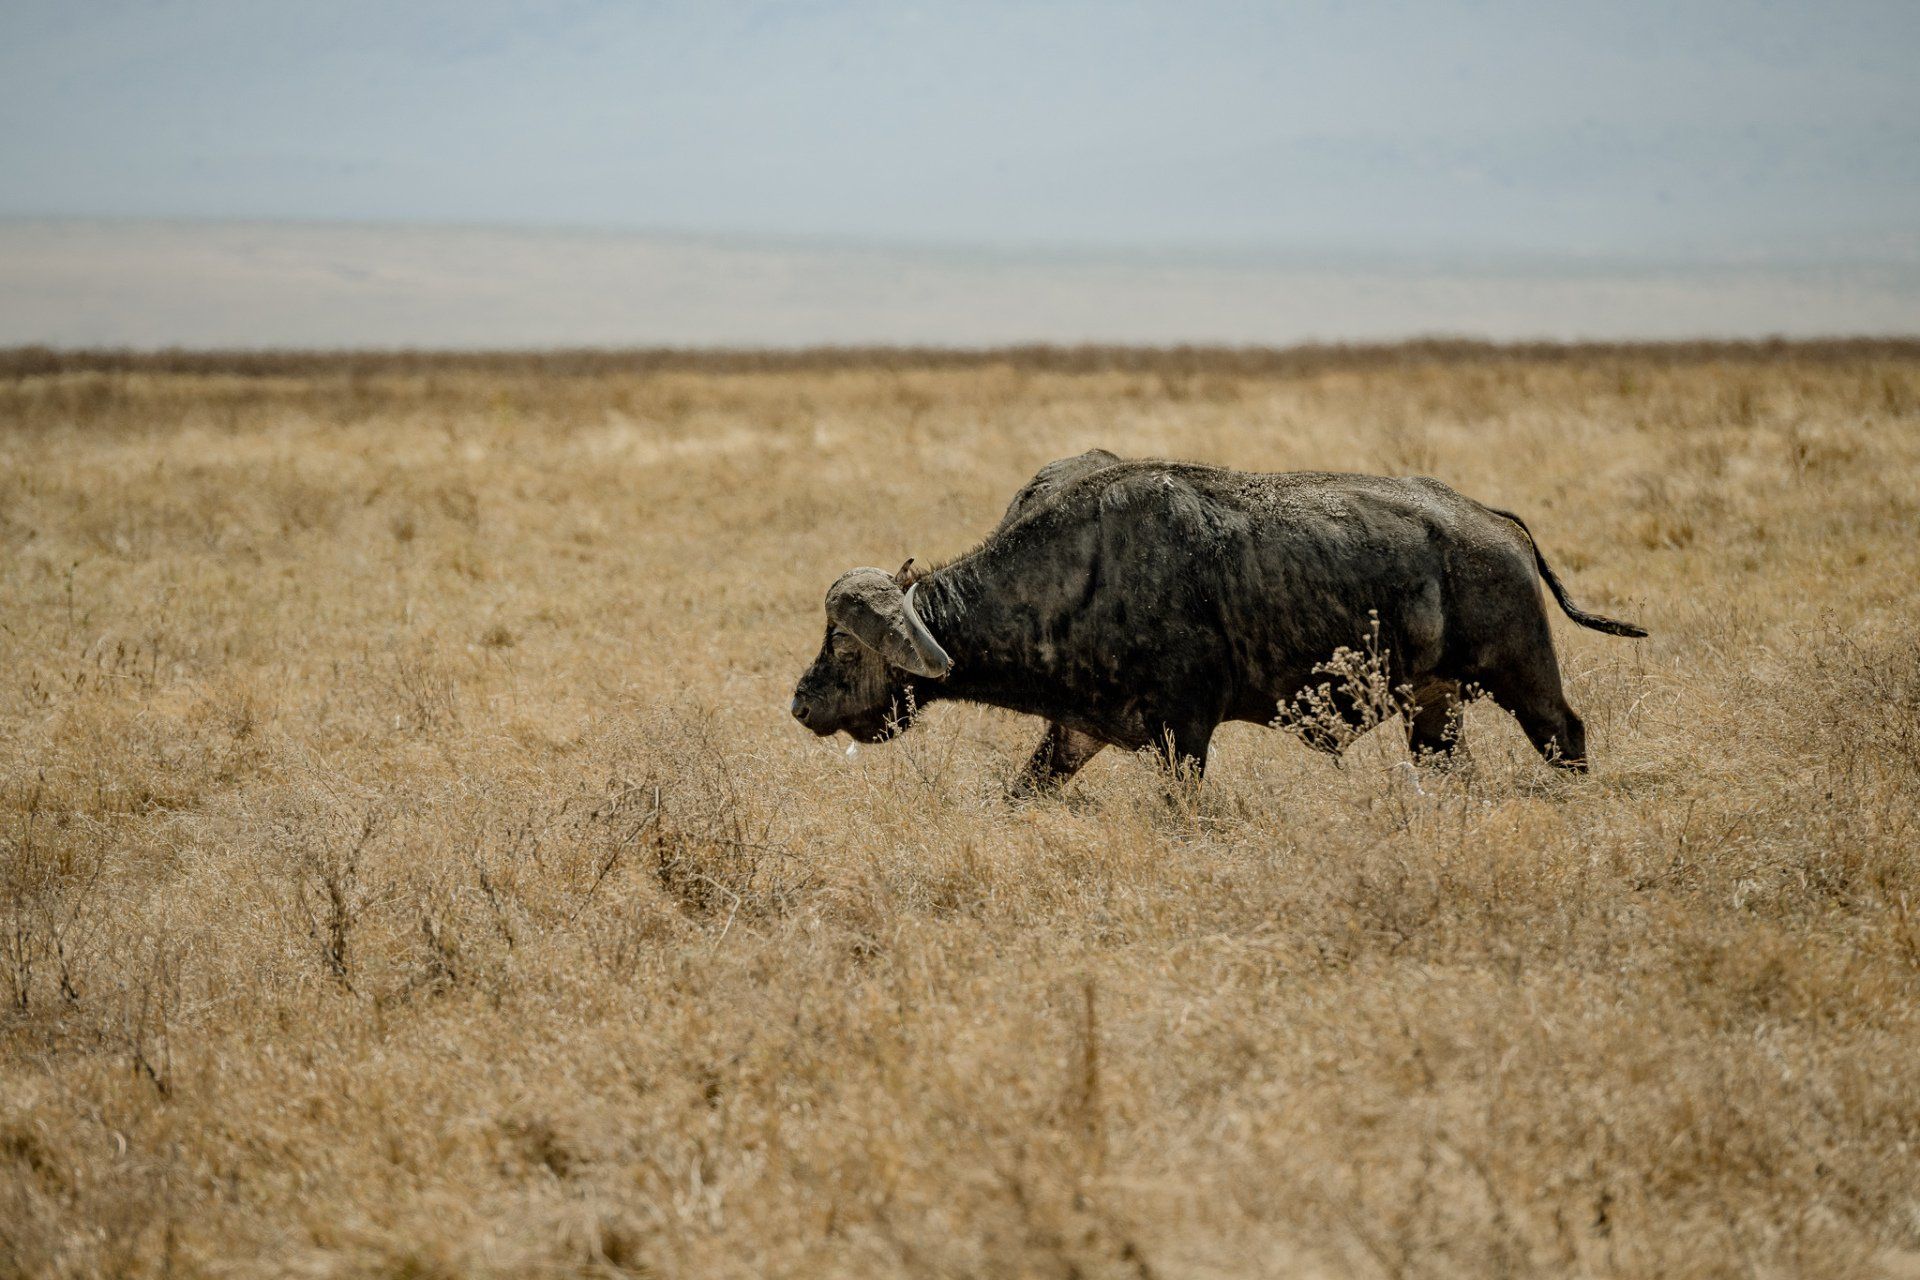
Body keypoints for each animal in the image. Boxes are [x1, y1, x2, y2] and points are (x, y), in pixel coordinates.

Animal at [791, 451, 1645, 791]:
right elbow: (1023, 790)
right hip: (1432, 707)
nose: (800, 702)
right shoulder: (1078, 732)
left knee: (1569, 737)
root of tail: (1495, 524)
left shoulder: (1184, 732)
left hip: (1525, 680)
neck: (1080, 577)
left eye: (846, 646)